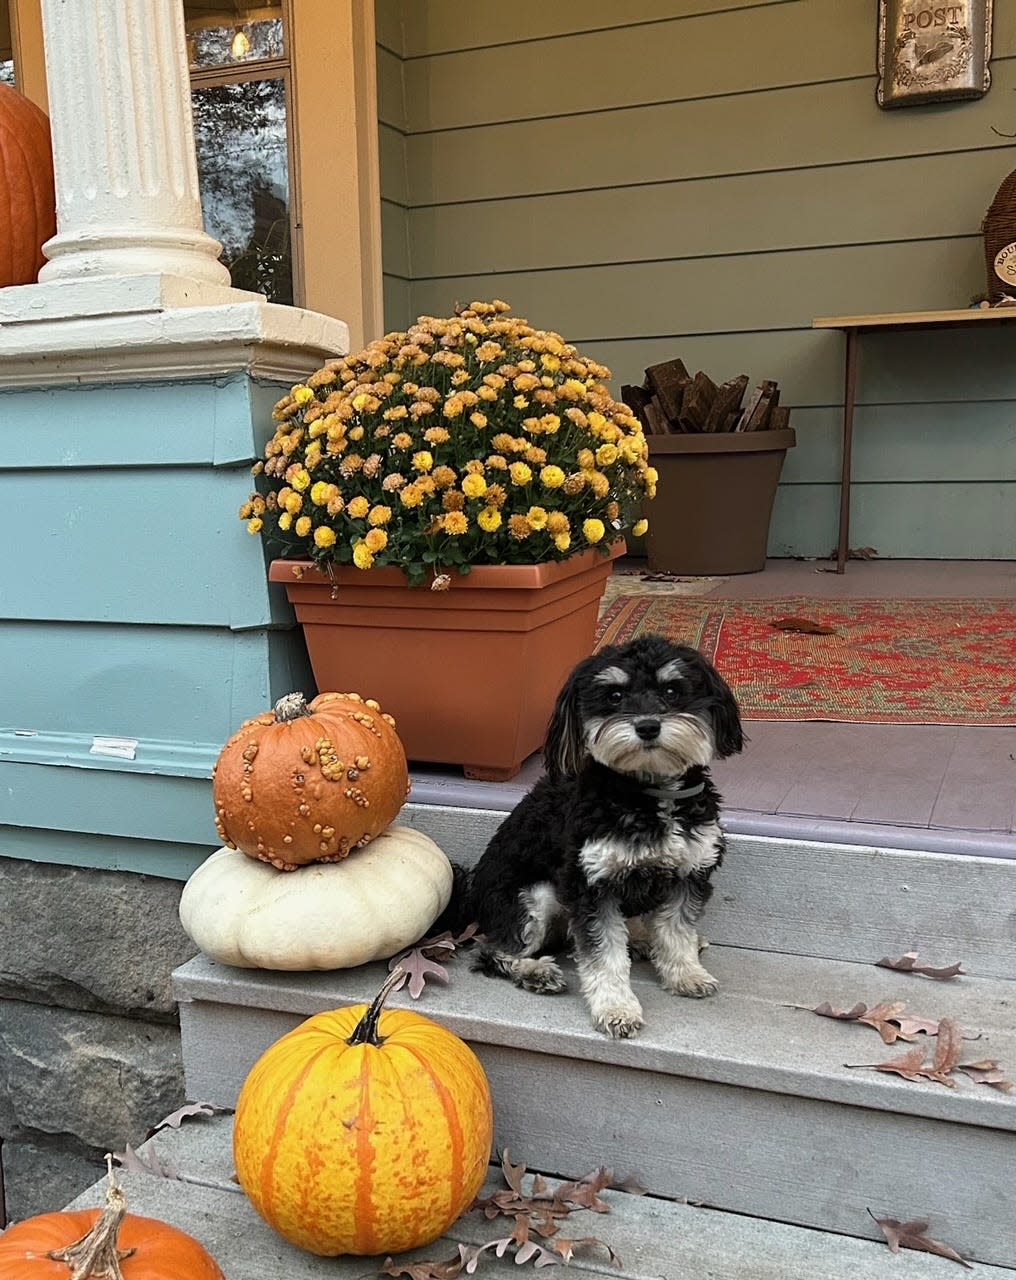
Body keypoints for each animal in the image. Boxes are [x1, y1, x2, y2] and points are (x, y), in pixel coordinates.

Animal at [463, 632, 742, 1039]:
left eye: (672, 690)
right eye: (614, 696)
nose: (647, 726)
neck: (646, 794)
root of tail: (469, 896)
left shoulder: (689, 874)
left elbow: (676, 932)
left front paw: (686, 974)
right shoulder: (592, 885)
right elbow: (605, 957)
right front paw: (616, 1009)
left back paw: (643, 940)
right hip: (534, 897)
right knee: (490, 949)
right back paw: (536, 971)